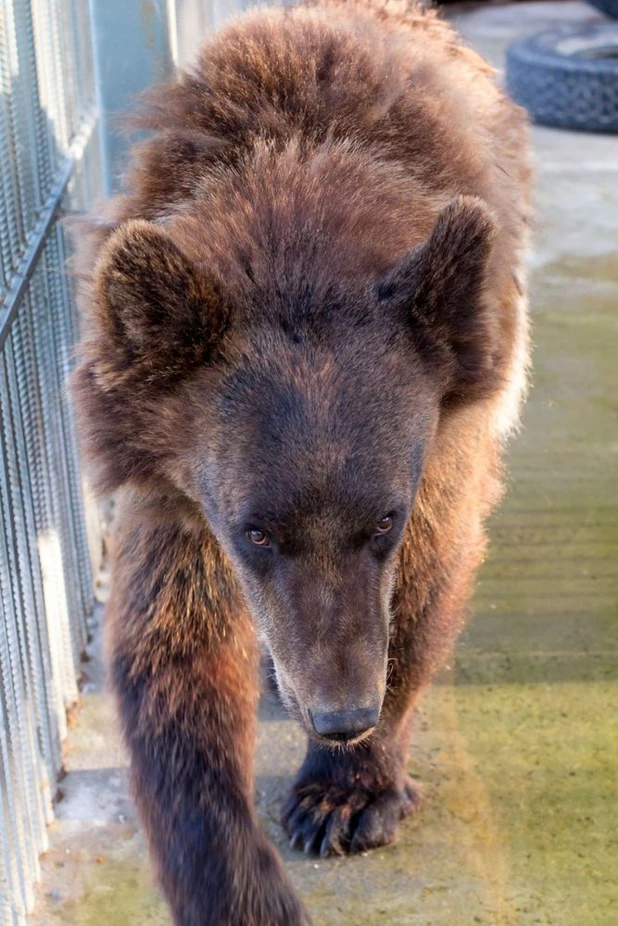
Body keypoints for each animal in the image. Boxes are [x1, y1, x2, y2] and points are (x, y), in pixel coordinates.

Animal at [70, 1, 528, 926]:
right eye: (257, 532)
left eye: (383, 518)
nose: (341, 714)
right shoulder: (181, 479)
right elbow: (170, 658)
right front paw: (238, 884)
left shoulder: (443, 436)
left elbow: (422, 587)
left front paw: (345, 795)